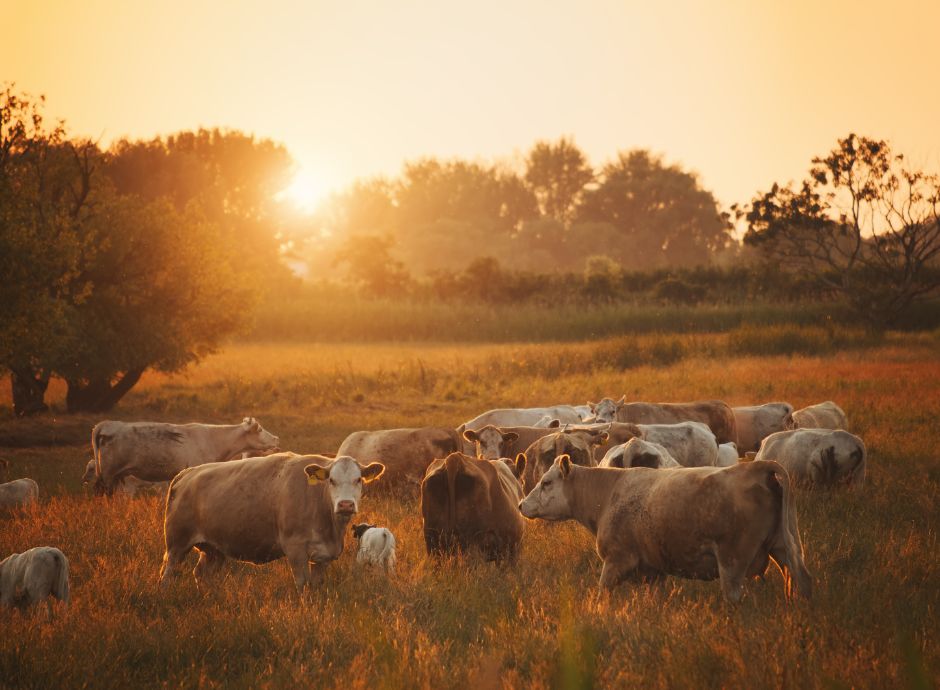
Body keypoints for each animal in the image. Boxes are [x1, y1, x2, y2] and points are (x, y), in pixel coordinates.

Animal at [89, 414, 278, 494]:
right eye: (260, 429)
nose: (277, 439)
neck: (213, 439)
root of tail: (106, 424)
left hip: (116, 476)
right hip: (107, 474)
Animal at [162, 452, 386, 592]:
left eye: (358, 480)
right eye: (331, 480)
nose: (345, 504)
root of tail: (187, 474)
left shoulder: (323, 556)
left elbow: (315, 586)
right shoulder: (295, 550)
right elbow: (303, 584)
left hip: (214, 549)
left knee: (201, 574)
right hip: (177, 543)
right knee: (168, 572)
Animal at [516, 454, 812, 600]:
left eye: (546, 482)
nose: (521, 505)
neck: (608, 494)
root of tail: (757, 467)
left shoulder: (616, 560)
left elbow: (601, 594)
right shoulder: (654, 571)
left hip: (732, 560)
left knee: (734, 595)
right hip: (784, 546)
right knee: (802, 580)